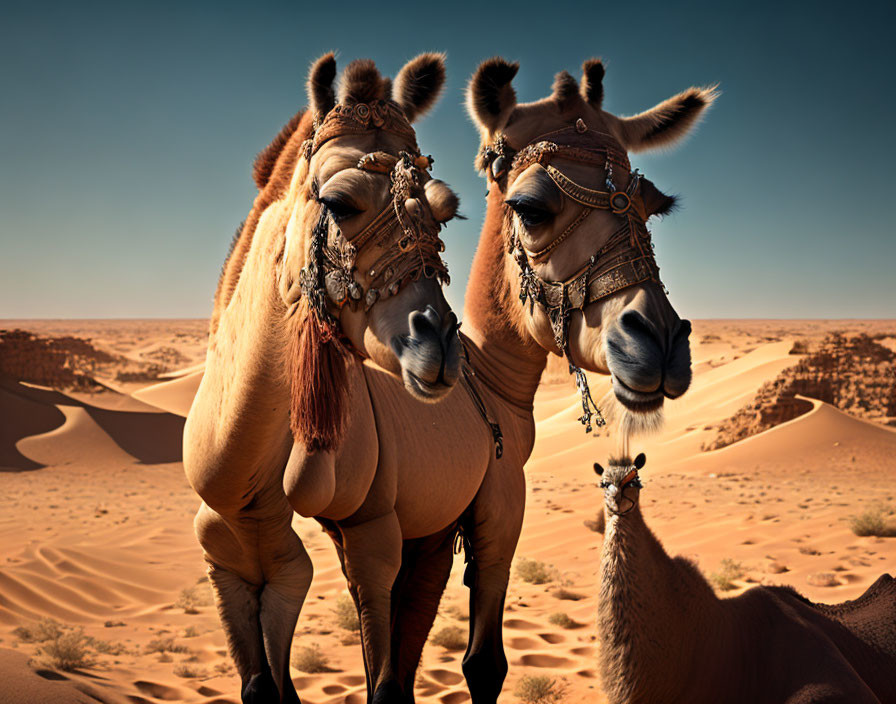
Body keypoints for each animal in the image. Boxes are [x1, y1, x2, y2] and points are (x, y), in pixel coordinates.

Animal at [180, 55, 462, 704]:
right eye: (338, 202)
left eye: (446, 211)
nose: (437, 343)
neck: (246, 498)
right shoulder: (229, 561)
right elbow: (261, 684)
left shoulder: (312, 560)